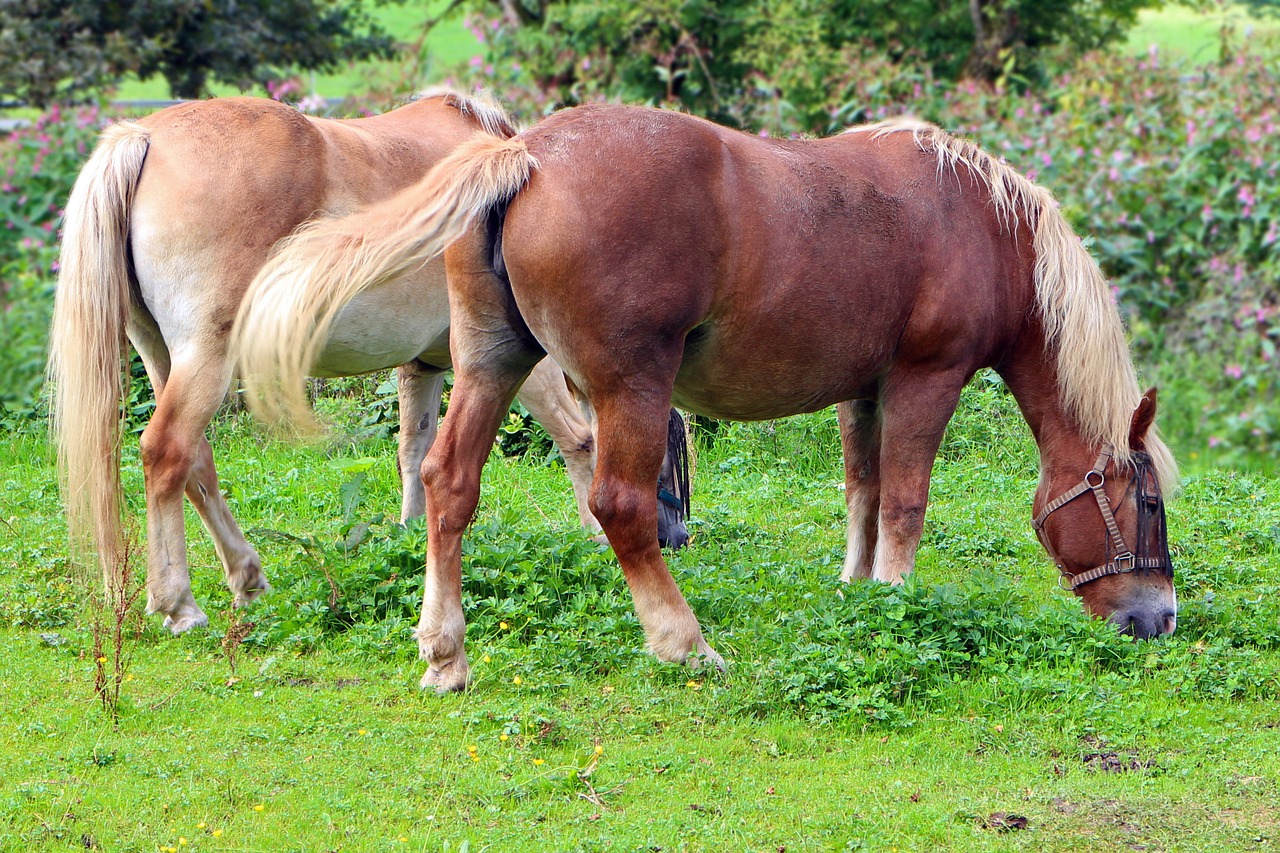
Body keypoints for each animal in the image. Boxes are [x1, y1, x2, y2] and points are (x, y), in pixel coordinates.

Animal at [48, 94, 686, 630]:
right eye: (671, 459)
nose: (676, 538)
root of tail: (146, 137)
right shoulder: (520, 361)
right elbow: (579, 438)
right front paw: (594, 538)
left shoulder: (424, 365)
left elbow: (414, 451)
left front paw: (412, 539)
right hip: (206, 356)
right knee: (167, 453)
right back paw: (178, 604)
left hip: (163, 357)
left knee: (195, 463)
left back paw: (247, 576)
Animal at [232, 104, 1177, 691]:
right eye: (1151, 506)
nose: (1159, 617)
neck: (979, 221)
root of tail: (526, 157)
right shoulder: (924, 379)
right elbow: (906, 503)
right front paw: (896, 604)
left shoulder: (863, 393)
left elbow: (864, 495)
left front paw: (858, 595)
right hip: (631, 388)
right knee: (619, 506)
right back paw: (682, 643)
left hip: (493, 363)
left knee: (447, 484)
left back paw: (445, 651)